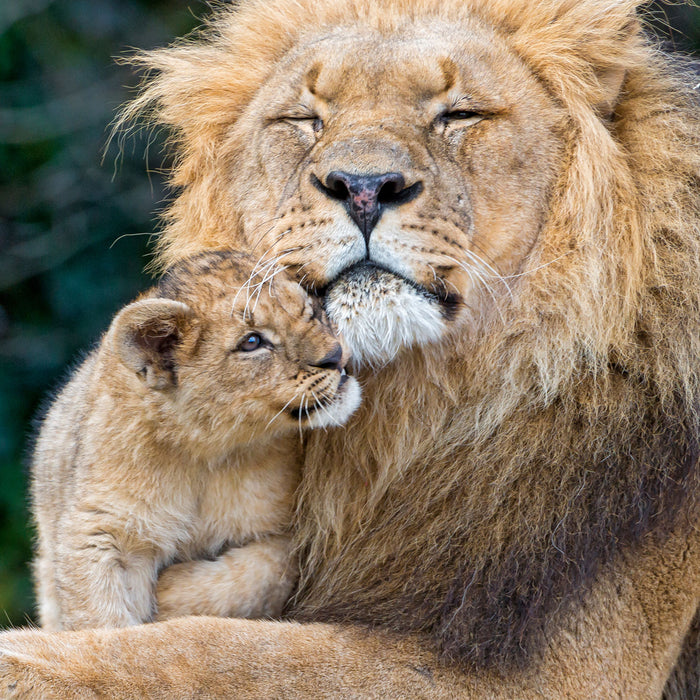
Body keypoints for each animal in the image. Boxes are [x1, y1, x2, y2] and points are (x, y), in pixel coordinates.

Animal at [1, 0, 700, 696]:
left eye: (460, 114)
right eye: (305, 119)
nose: (364, 186)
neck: (416, 412)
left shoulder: (546, 669)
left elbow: (210, 654)